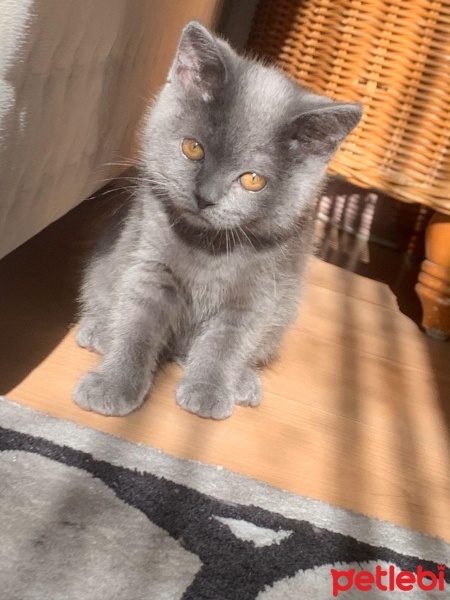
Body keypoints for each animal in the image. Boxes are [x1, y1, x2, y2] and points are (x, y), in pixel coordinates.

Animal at [74, 21, 362, 420]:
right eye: (193, 148)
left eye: (253, 180)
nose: (204, 197)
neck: (208, 245)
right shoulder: (150, 264)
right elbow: (136, 324)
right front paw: (114, 384)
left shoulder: (258, 294)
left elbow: (228, 343)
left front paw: (208, 391)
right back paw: (99, 331)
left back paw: (242, 381)